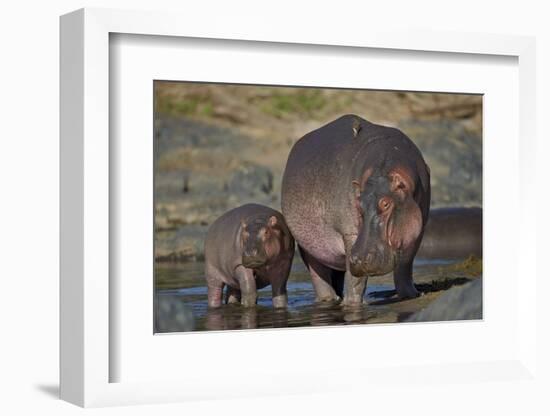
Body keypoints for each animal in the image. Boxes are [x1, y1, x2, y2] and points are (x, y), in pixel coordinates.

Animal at [284, 114, 432, 306]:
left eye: (386, 204)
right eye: (358, 203)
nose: (359, 259)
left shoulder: (417, 230)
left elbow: (405, 264)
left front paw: (411, 295)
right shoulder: (350, 234)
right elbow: (356, 279)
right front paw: (352, 305)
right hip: (308, 245)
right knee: (319, 274)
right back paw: (329, 299)